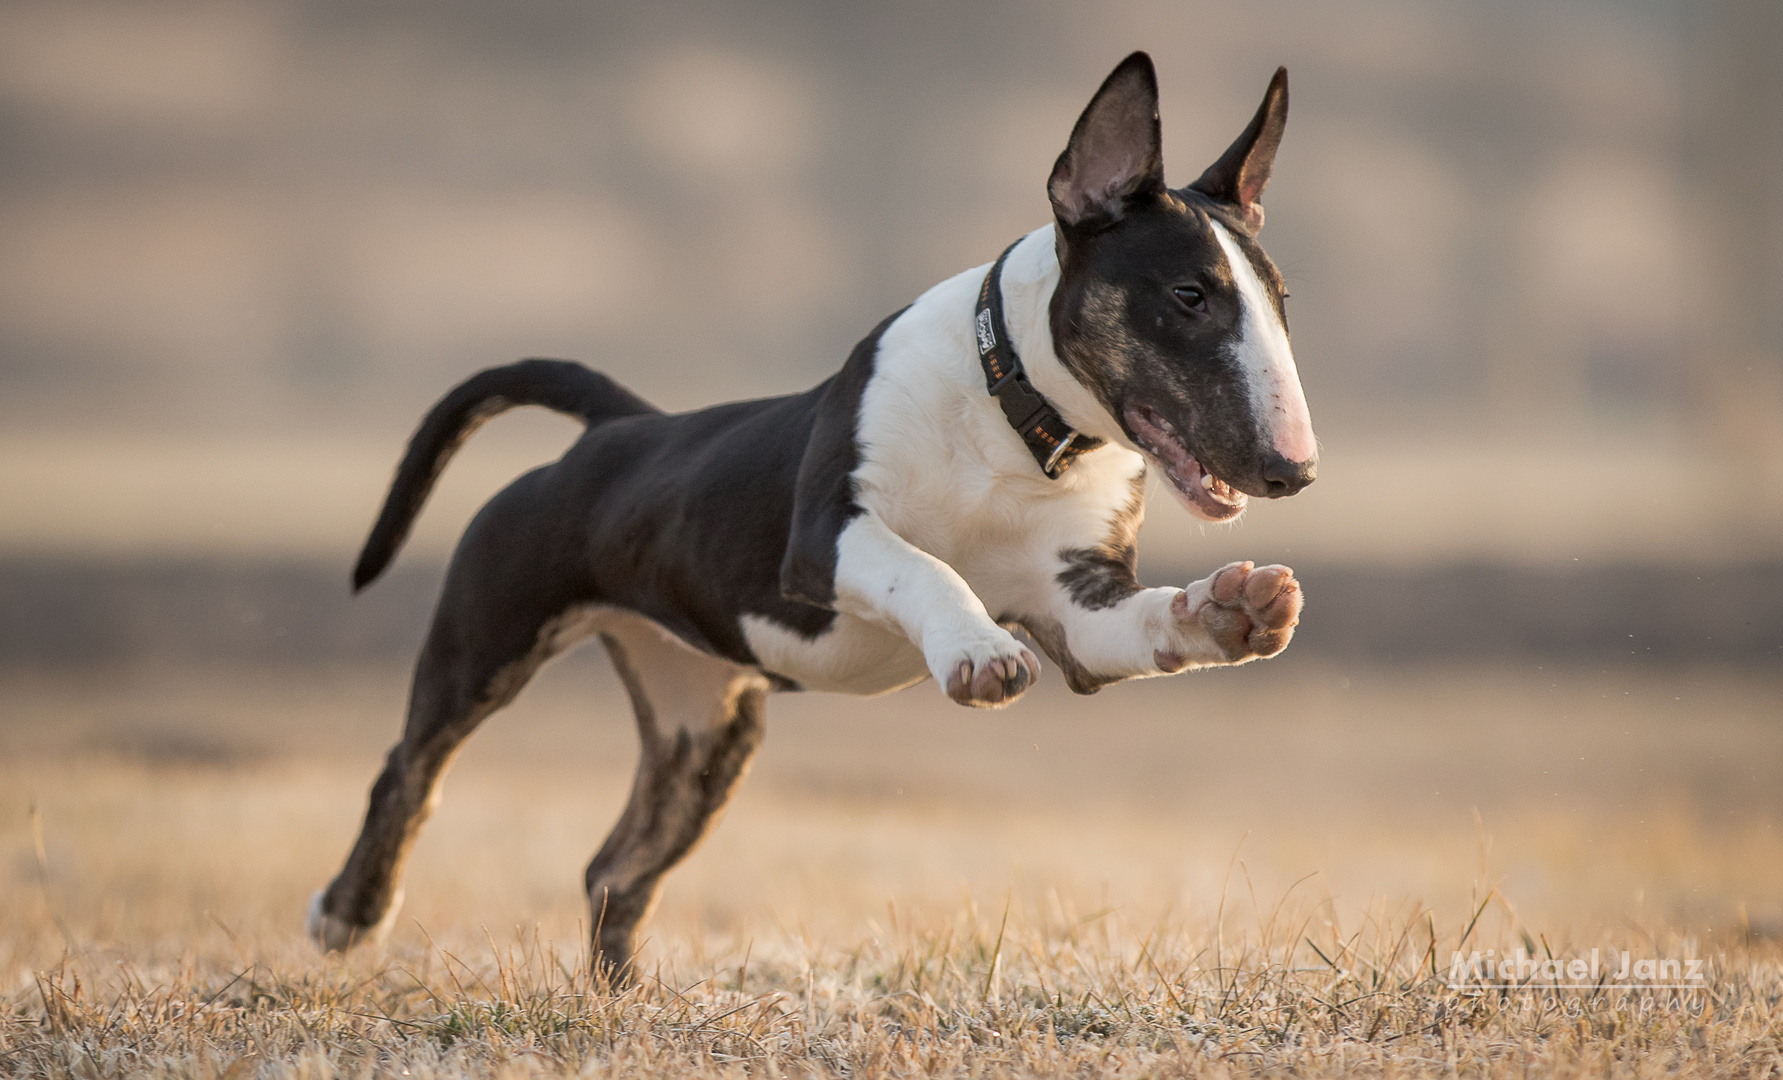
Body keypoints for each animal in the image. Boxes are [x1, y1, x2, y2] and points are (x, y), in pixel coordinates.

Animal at [306, 53, 1319, 983]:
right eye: (1188, 295)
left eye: (1281, 302)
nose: (1293, 471)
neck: (1014, 424)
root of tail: (619, 428)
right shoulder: (827, 537)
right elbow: (925, 569)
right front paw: (976, 650)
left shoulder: (1075, 606)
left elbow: (1140, 623)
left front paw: (1230, 610)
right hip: (486, 636)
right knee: (408, 772)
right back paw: (349, 913)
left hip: (707, 729)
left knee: (615, 868)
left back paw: (620, 1000)